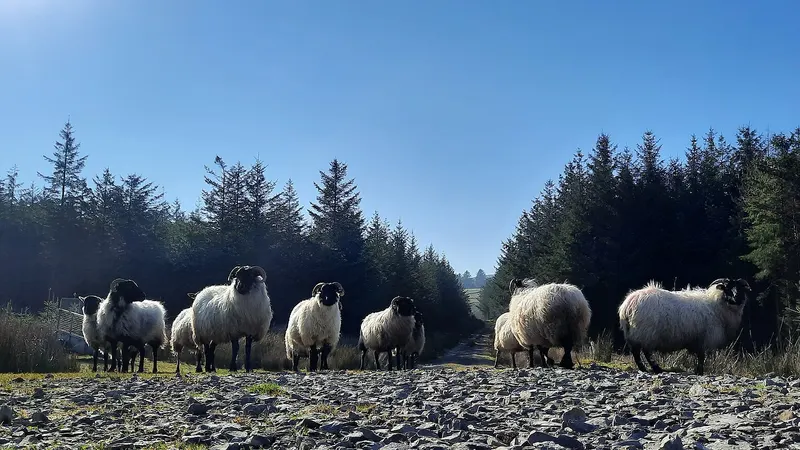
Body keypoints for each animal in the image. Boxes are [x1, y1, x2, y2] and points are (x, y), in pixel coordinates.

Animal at [618, 277, 751, 375]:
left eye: (740, 288)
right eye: (727, 289)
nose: (737, 298)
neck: (716, 304)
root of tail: (628, 305)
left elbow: (700, 357)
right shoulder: (703, 339)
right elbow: (701, 358)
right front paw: (700, 372)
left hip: (634, 333)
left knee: (636, 352)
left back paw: (645, 369)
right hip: (646, 332)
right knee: (644, 352)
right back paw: (655, 369)